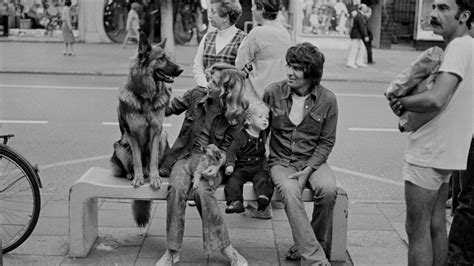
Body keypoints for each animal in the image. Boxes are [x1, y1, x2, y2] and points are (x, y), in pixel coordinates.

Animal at [110, 31, 182, 227]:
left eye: (168, 57)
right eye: (162, 58)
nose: (181, 70)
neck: (146, 98)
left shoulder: (157, 132)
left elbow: (154, 159)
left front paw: (155, 178)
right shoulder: (132, 135)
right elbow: (136, 160)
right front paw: (138, 177)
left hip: (164, 137)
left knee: (150, 162)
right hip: (120, 145)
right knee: (128, 166)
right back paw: (131, 174)